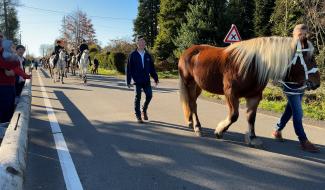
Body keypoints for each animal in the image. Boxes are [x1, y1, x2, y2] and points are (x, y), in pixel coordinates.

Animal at [178, 36, 320, 147]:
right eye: (310, 58)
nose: (317, 83)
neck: (252, 65)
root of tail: (187, 51)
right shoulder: (230, 94)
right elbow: (234, 115)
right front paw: (219, 131)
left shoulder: (254, 96)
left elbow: (251, 118)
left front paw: (252, 138)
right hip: (189, 83)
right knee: (192, 104)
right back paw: (197, 127)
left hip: (198, 86)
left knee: (193, 103)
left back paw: (191, 122)